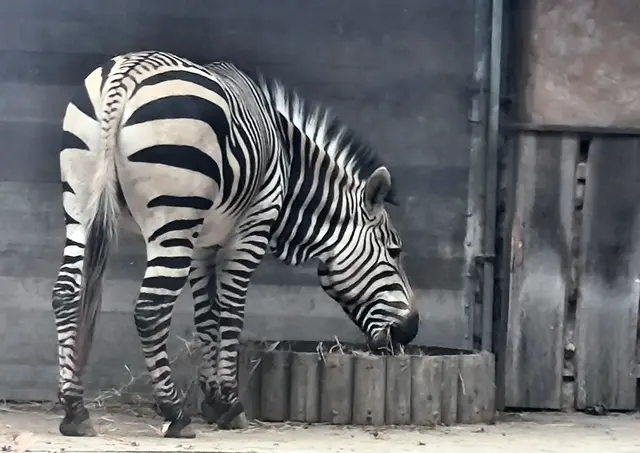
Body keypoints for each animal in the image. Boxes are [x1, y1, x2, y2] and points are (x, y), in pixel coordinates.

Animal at [53, 50, 419, 439]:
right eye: (394, 251)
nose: (410, 331)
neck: (288, 164)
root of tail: (129, 71)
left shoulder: (201, 244)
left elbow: (206, 315)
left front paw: (212, 399)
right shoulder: (252, 228)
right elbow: (230, 312)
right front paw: (229, 404)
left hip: (81, 204)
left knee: (66, 294)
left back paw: (75, 410)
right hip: (173, 218)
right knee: (151, 309)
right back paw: (174, 414)